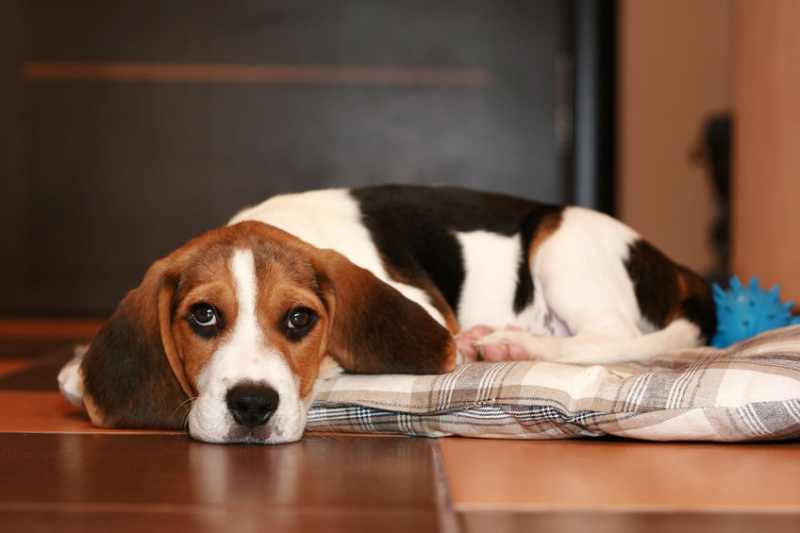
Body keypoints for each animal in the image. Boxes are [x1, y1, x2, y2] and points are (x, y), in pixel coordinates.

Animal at [59, 185, 716, 442]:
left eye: (299, 320)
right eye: (203, 317)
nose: (251, 406)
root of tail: (680, 267)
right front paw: (73, 369)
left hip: (562, 240)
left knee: (610, 335)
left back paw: (507, 343)